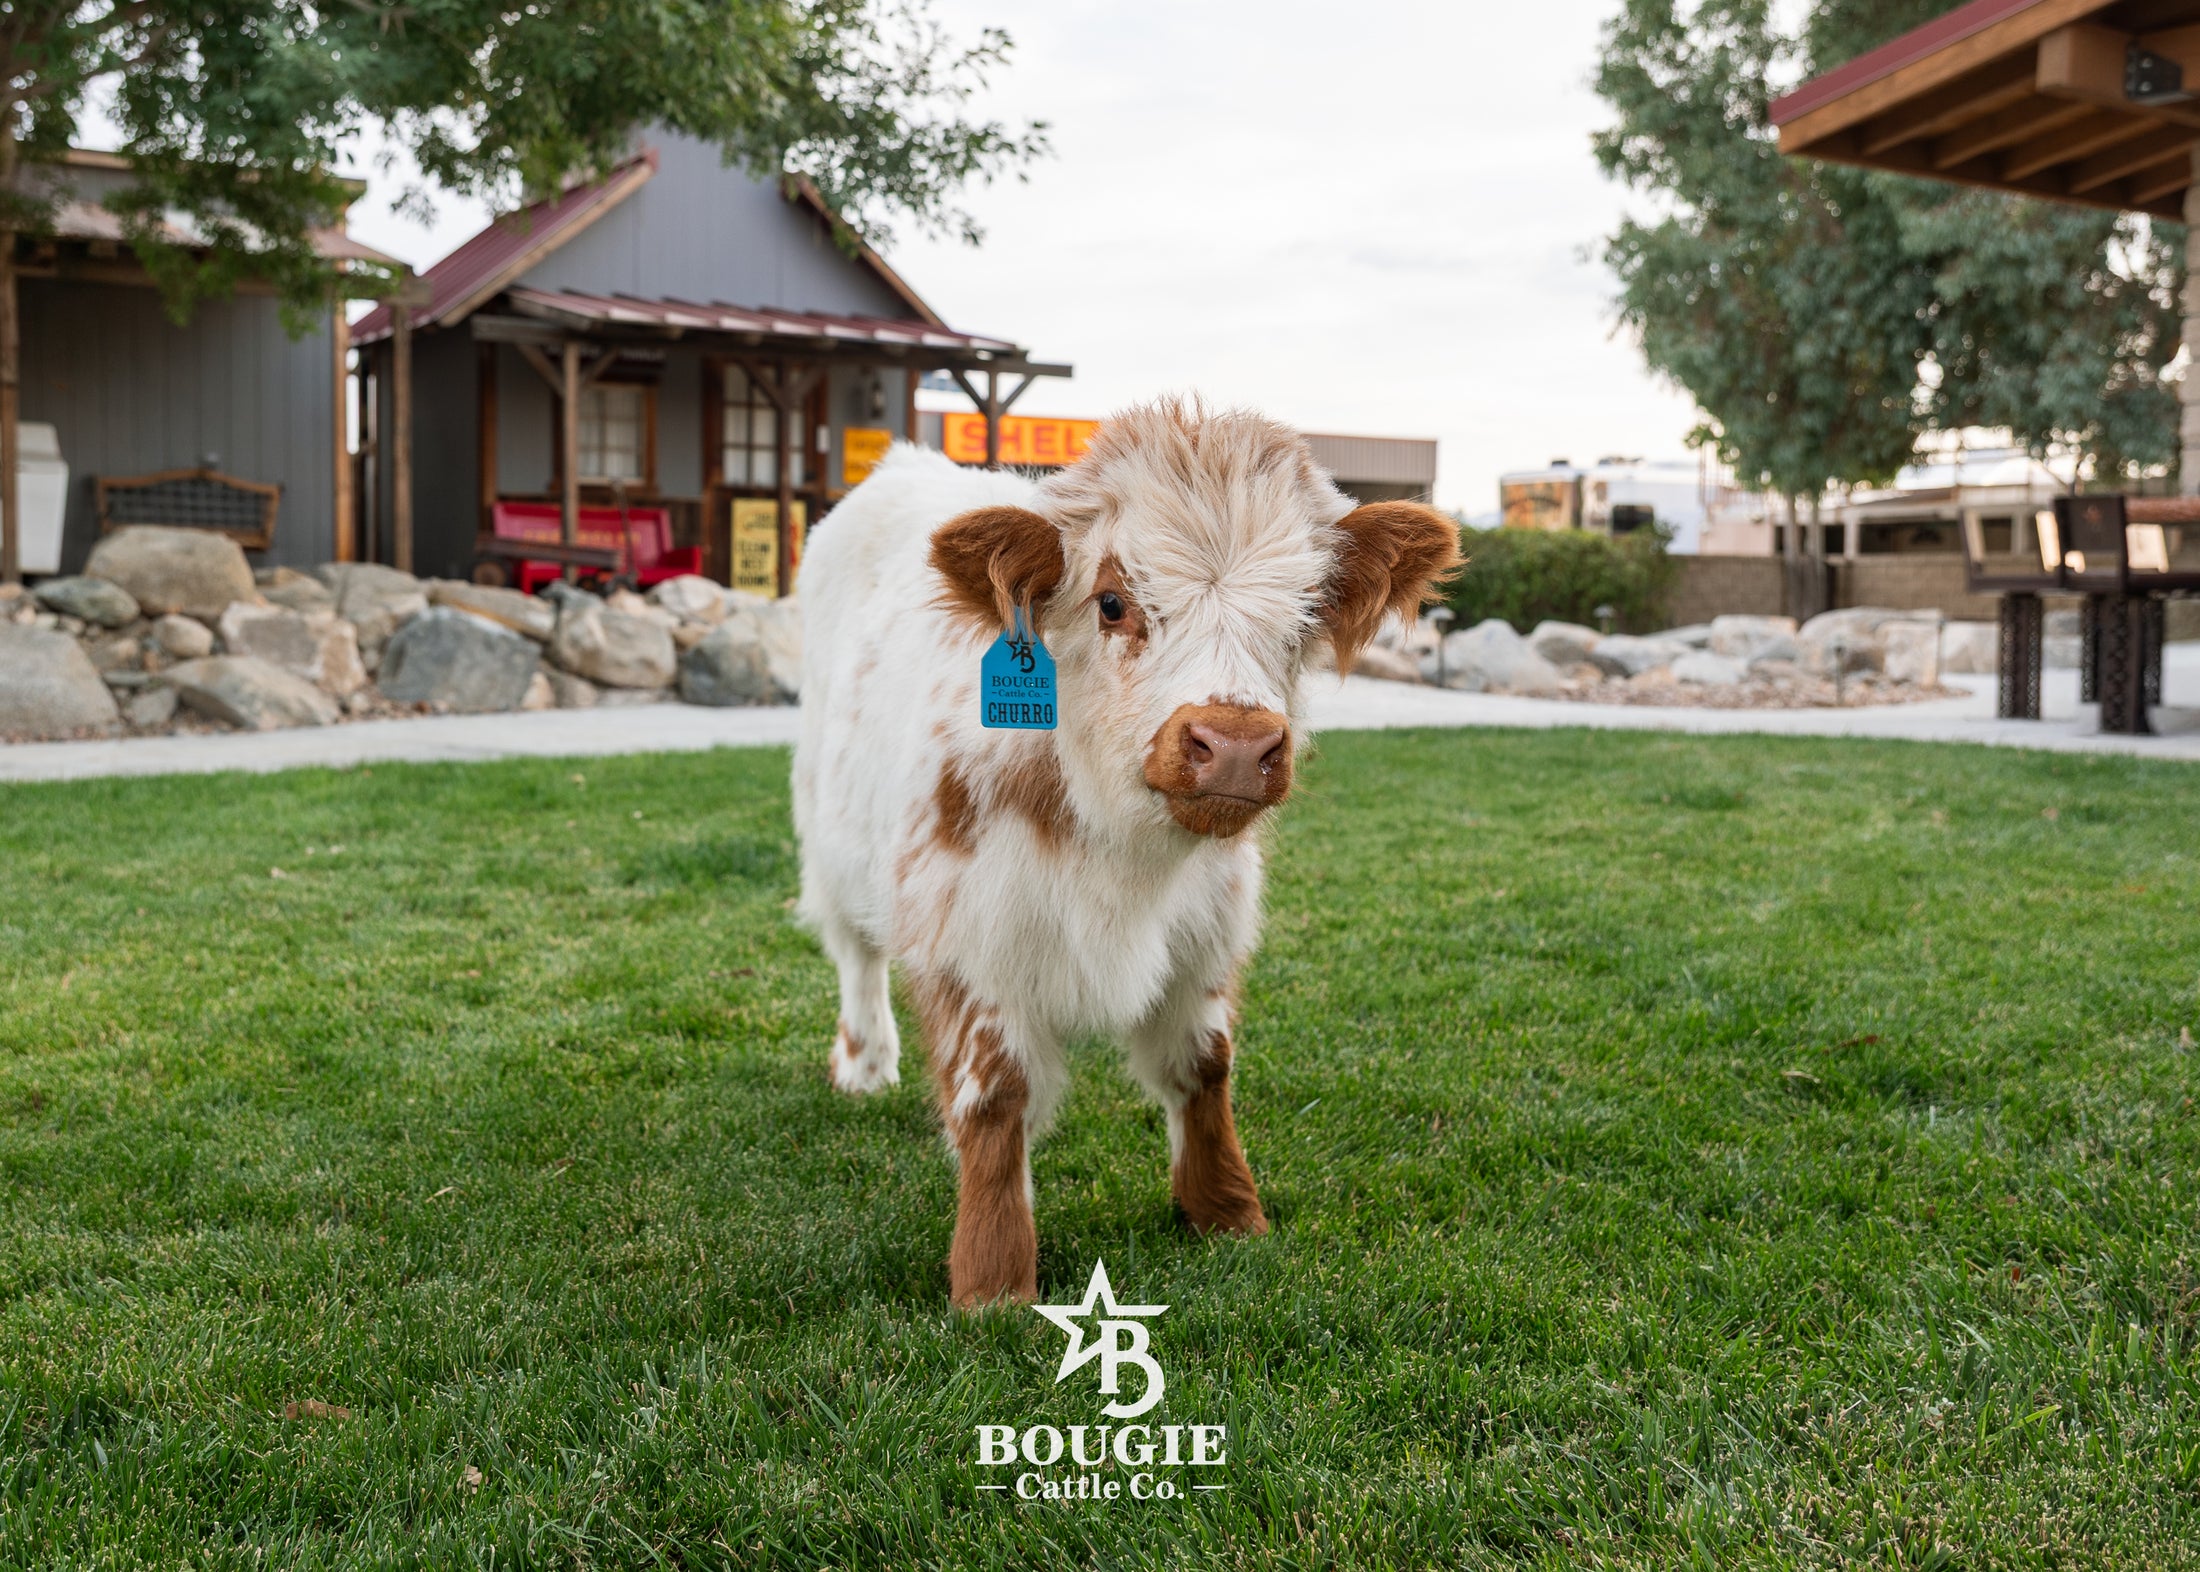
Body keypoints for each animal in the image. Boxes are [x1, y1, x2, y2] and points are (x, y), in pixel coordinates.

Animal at [793, 398, 1459, 1307]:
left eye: (1305, 616)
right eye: (1111, 602)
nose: (1237, 745)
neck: (1121, 849)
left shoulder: (1209, 922)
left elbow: (1205, 1067)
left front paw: (1228, 1213)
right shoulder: (971, 929)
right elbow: (995, 1098)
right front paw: (993, 1277)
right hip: (829, 828)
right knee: (856, 951)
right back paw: (865, 1066)